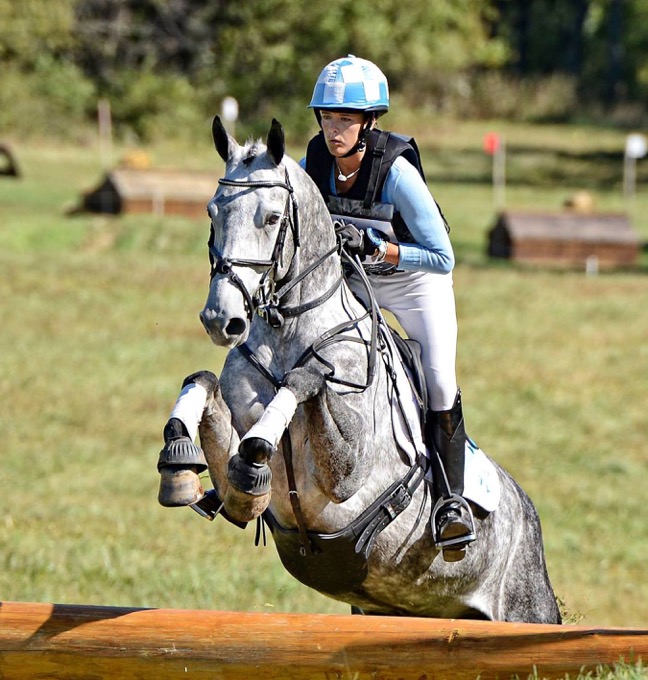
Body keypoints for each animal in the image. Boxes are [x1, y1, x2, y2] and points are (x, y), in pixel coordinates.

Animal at [156, 116, 562, 623]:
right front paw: (178, 457)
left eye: (271, 218)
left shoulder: (347, 473)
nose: (221, 319)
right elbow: (204, 385)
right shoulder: (238, 470)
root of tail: (529, 517)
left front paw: (256, 450)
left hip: (527, 609)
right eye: (212, 213)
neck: (289, 331)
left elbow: (302, 386)